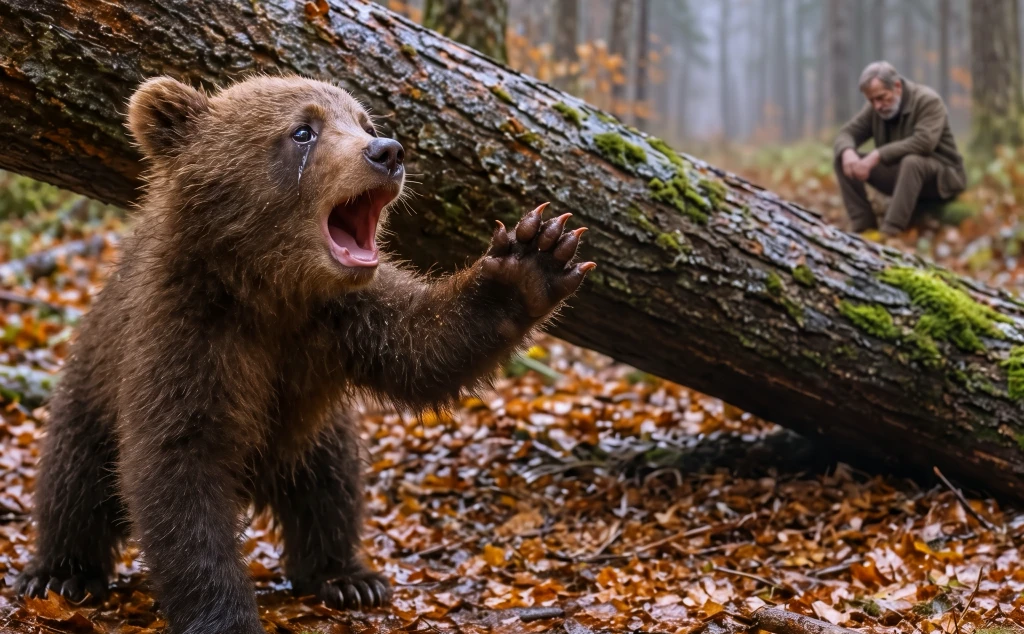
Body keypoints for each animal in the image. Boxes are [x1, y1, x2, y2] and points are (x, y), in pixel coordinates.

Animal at [14, 74, 594, 634]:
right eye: (302, 131)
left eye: (362, 120)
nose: (387, 151)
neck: (271, 290)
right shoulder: (186, 334)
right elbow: (179, 467)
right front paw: (224, 616)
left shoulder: (342, 318)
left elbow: (425, 348)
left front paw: (533, 255)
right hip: (90, 392)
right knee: (73, 480)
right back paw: (59, 574)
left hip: (317, 434)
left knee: (332, 491)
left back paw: (347, 577)